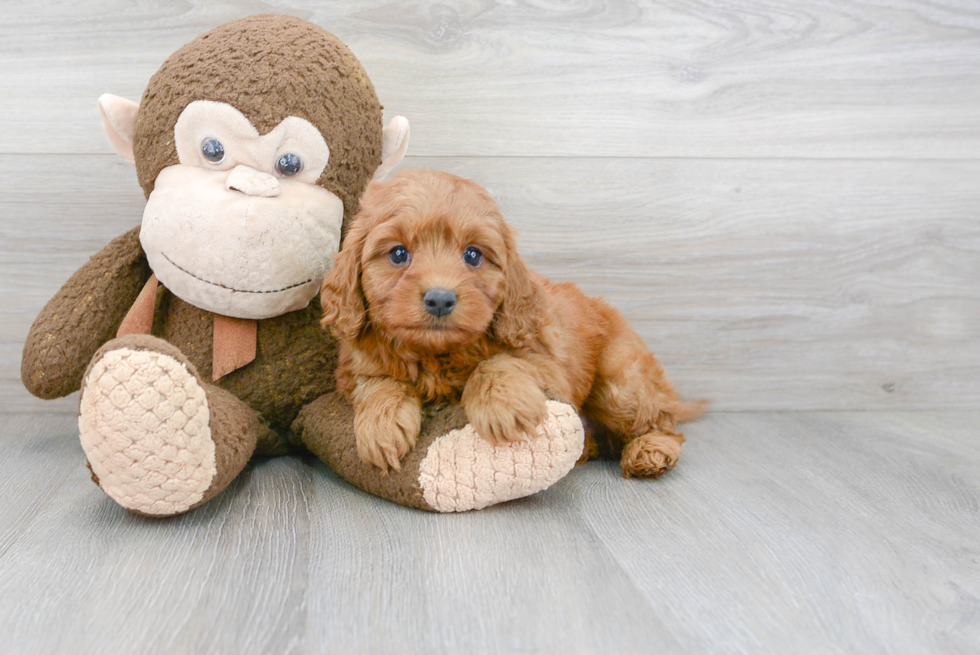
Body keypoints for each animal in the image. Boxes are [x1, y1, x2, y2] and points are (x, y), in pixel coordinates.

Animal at [320, 169, 696, 476]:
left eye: (473, 255)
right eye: (398, 253)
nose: (440, 299)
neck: (437, 356)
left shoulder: (549, 366)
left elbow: (499, 362)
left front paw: (502, 405)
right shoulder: (354, 367)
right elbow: (379, 380)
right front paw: (381, 424)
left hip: (621, 382)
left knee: (660, 419)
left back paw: (651, 451)